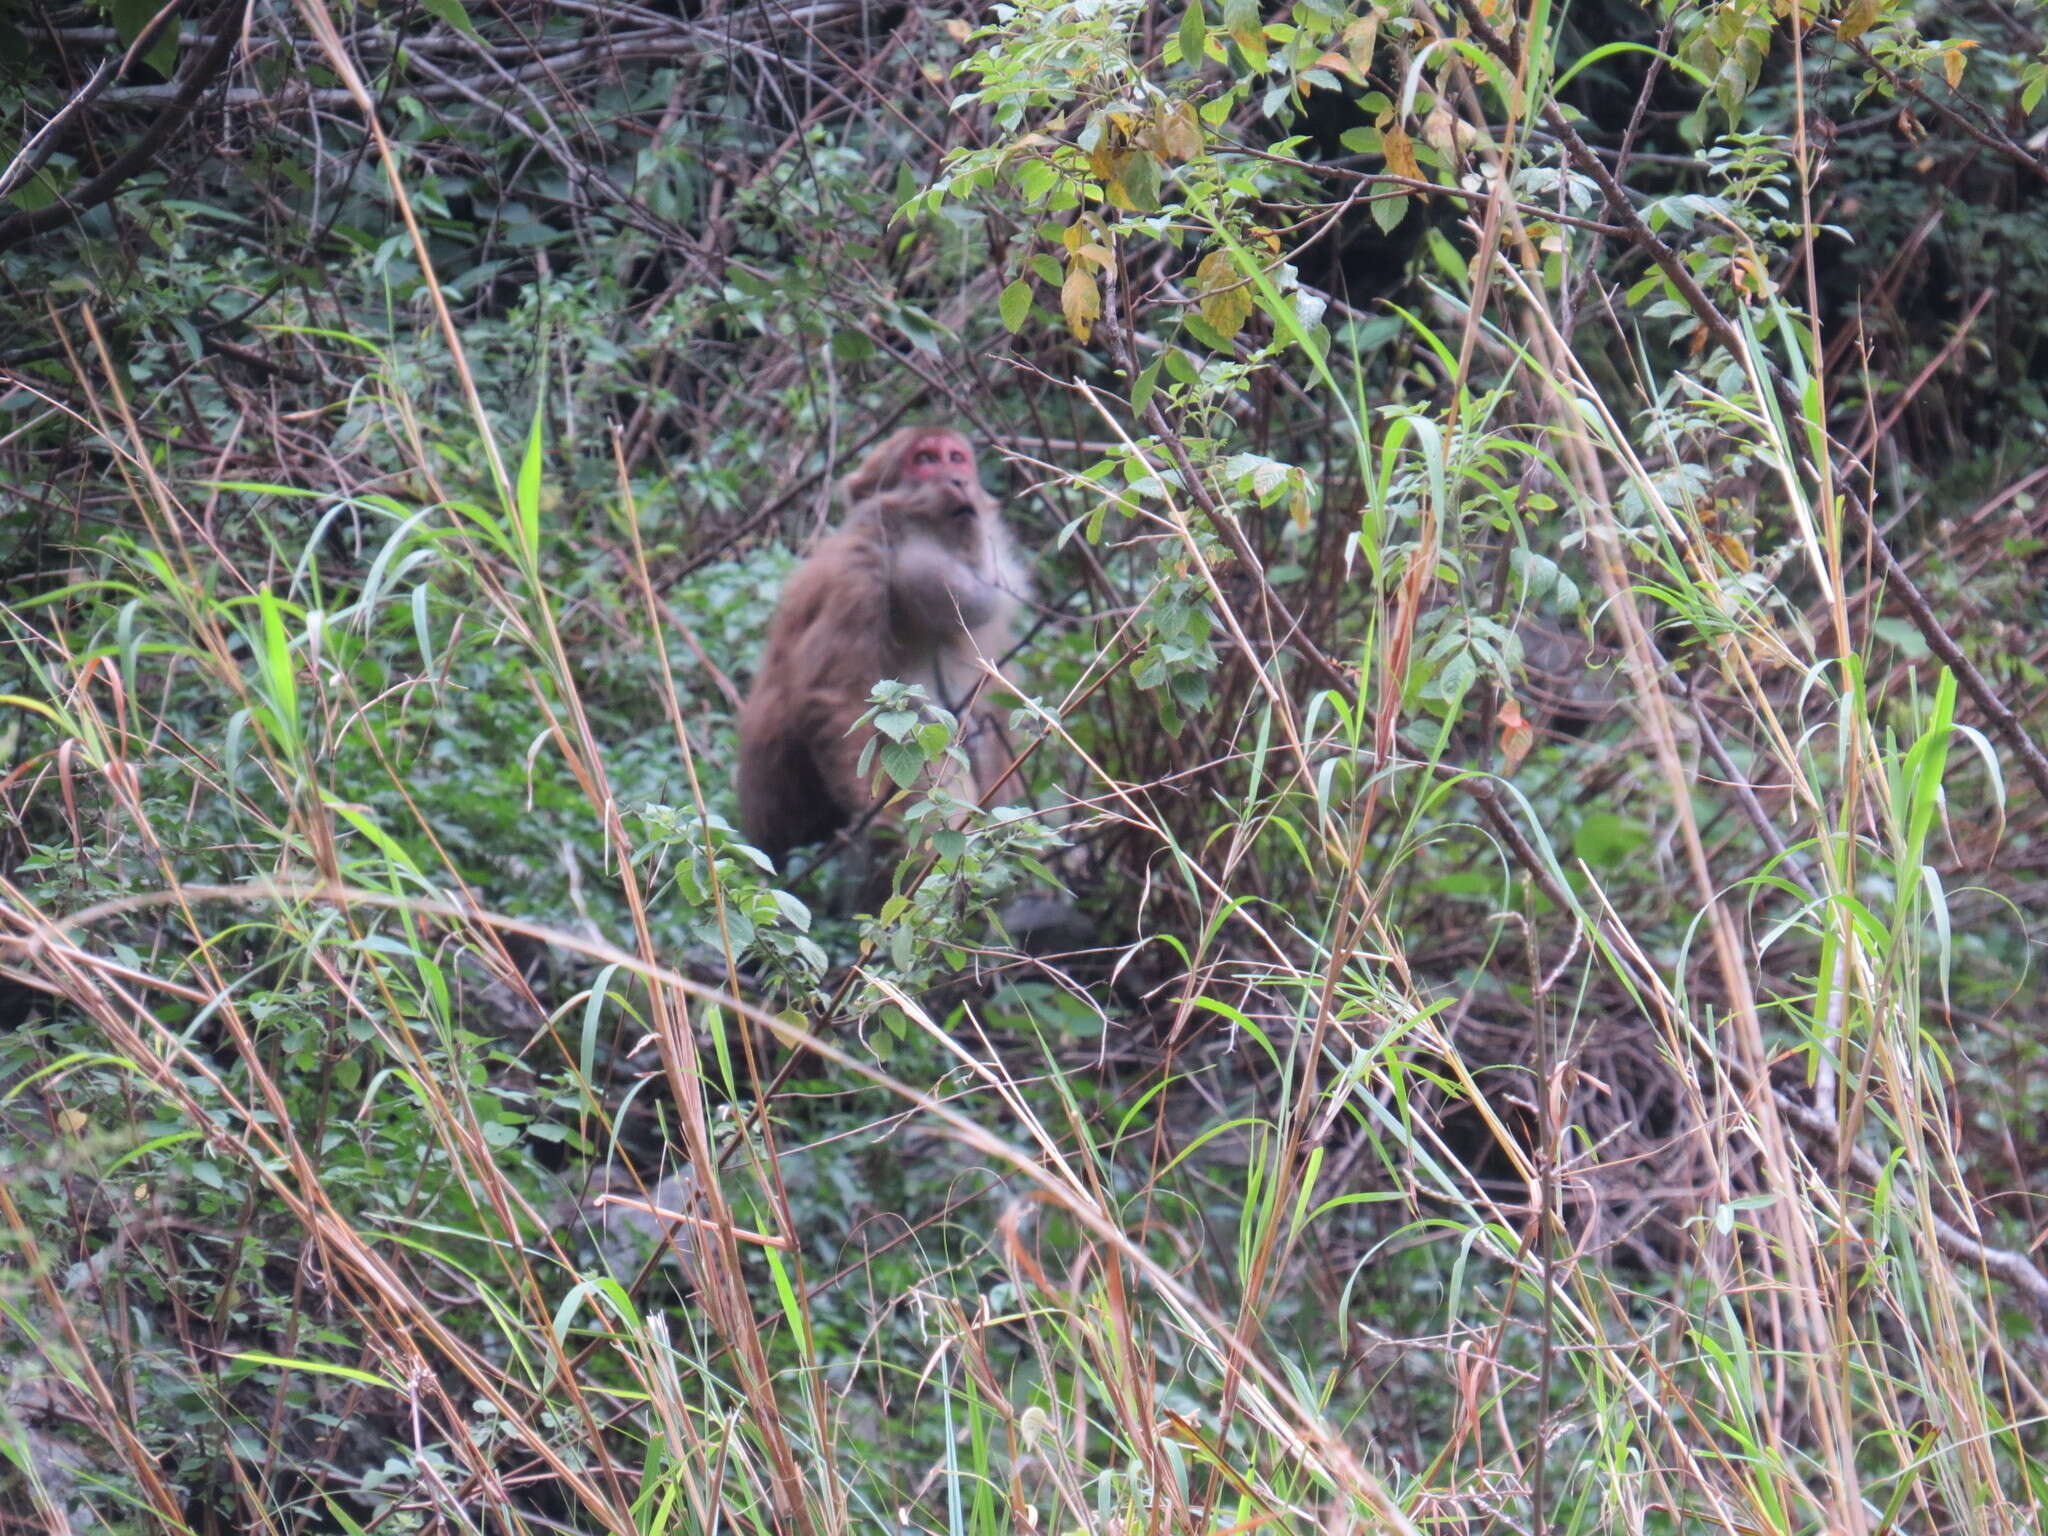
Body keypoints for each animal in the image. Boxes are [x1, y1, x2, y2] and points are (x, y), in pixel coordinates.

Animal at [737, 430, 1024, 868]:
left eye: (956, 458)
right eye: (925, 460)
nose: (959, 480)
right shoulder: (853, 577)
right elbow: (838, 701)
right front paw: (886, 831)